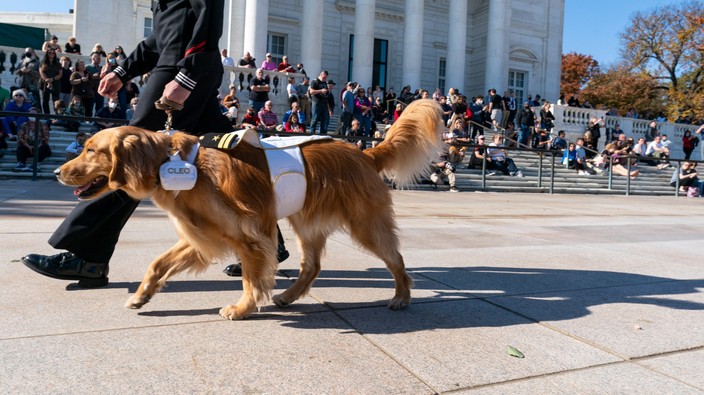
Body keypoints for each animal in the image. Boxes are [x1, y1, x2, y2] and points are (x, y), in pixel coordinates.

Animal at [55, 100, 442, 322]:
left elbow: (250, 279)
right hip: (306, 221)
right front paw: (141, 296)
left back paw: (402, 297)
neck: (175, 163)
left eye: (91, 150)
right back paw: (287, 296)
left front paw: (242, 309)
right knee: (312, 266)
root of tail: (365, 153)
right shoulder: (202, 235)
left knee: (396, 260)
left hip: (365, 224)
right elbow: (157, 263)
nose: (59, 171)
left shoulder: (250, 236)